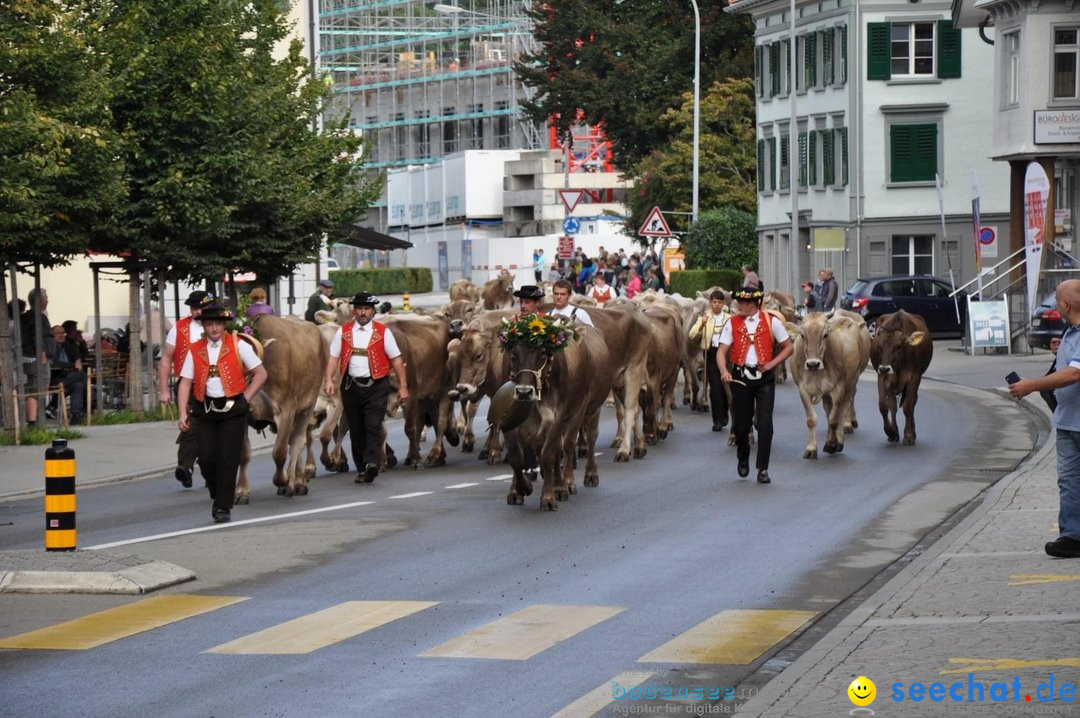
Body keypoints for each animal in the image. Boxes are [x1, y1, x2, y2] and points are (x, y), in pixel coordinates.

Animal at [790, 310, 872, 455]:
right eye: (803, 335)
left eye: (825, 334)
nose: (812, 364)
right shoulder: (803, 389)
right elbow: (812, 419)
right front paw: (811, 448)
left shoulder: (839, 388)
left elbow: (834, 418)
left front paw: (833, 444)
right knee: (829, 410)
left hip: (851, 383)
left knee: (843, 408)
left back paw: (842, 433)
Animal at [864, 310, 933, 444]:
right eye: (880, 347)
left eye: (899, 346)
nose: (884, 368)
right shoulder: (882, 377)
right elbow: (883, 406)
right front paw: (890, 432)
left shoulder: (914, 378)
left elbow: (908, 406)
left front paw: (909, 435)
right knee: (893, 406)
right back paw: (895, 433)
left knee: (912, 402)